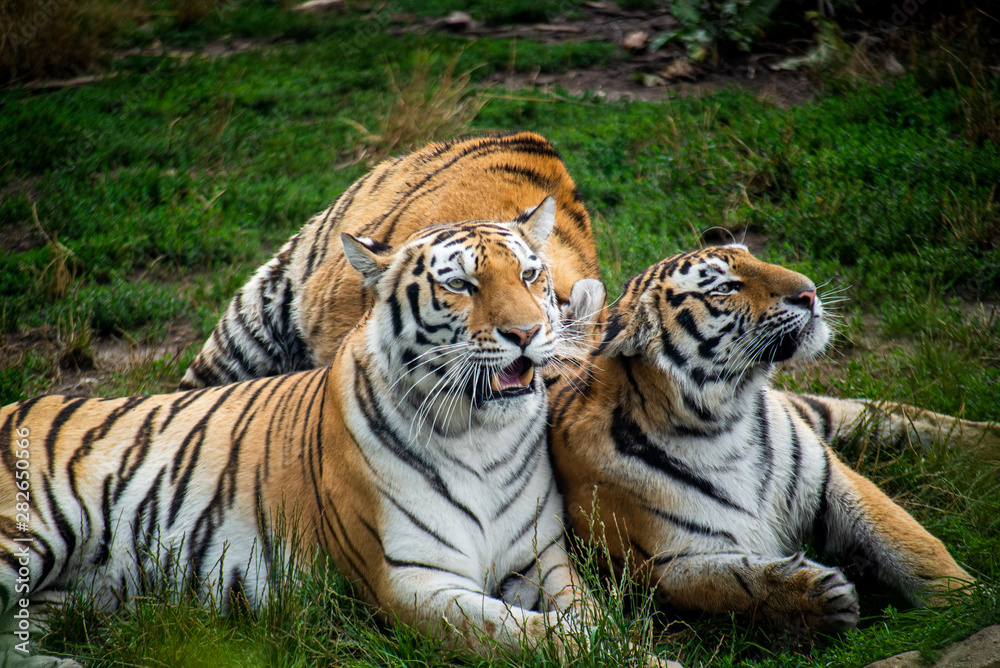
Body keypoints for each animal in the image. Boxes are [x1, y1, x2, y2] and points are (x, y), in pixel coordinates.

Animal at [0, 208, 615, 665]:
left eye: (530, 275)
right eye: (461, 285)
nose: (527, 332)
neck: (482, 435)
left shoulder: (542, 554)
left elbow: (587, 609)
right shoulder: (410, 579)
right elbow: (520, 631)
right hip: (25, 536)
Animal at [549, 244, 977, 632]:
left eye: (752, 257)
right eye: (724, 287)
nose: (809, 292)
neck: (720, 427)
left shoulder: (832, 480)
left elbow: (911, 543)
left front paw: (965, 600)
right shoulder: (666, 563)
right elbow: (731, 583)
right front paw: (816, 596)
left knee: (897, 416)